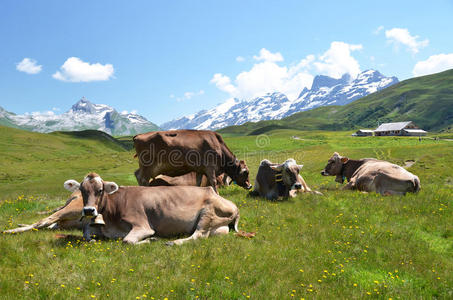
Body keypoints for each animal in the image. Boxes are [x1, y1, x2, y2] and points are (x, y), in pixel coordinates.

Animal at [64, 172, 240, 245]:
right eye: (81, 190)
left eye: (100, 190)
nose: (88, 211)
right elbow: (86, 231)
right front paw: (92, 238)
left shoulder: (142, 226)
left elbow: (127, 241)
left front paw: (151, 240)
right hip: (218, 227)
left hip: (208, 213)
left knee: (199, 235)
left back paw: (174, 242)